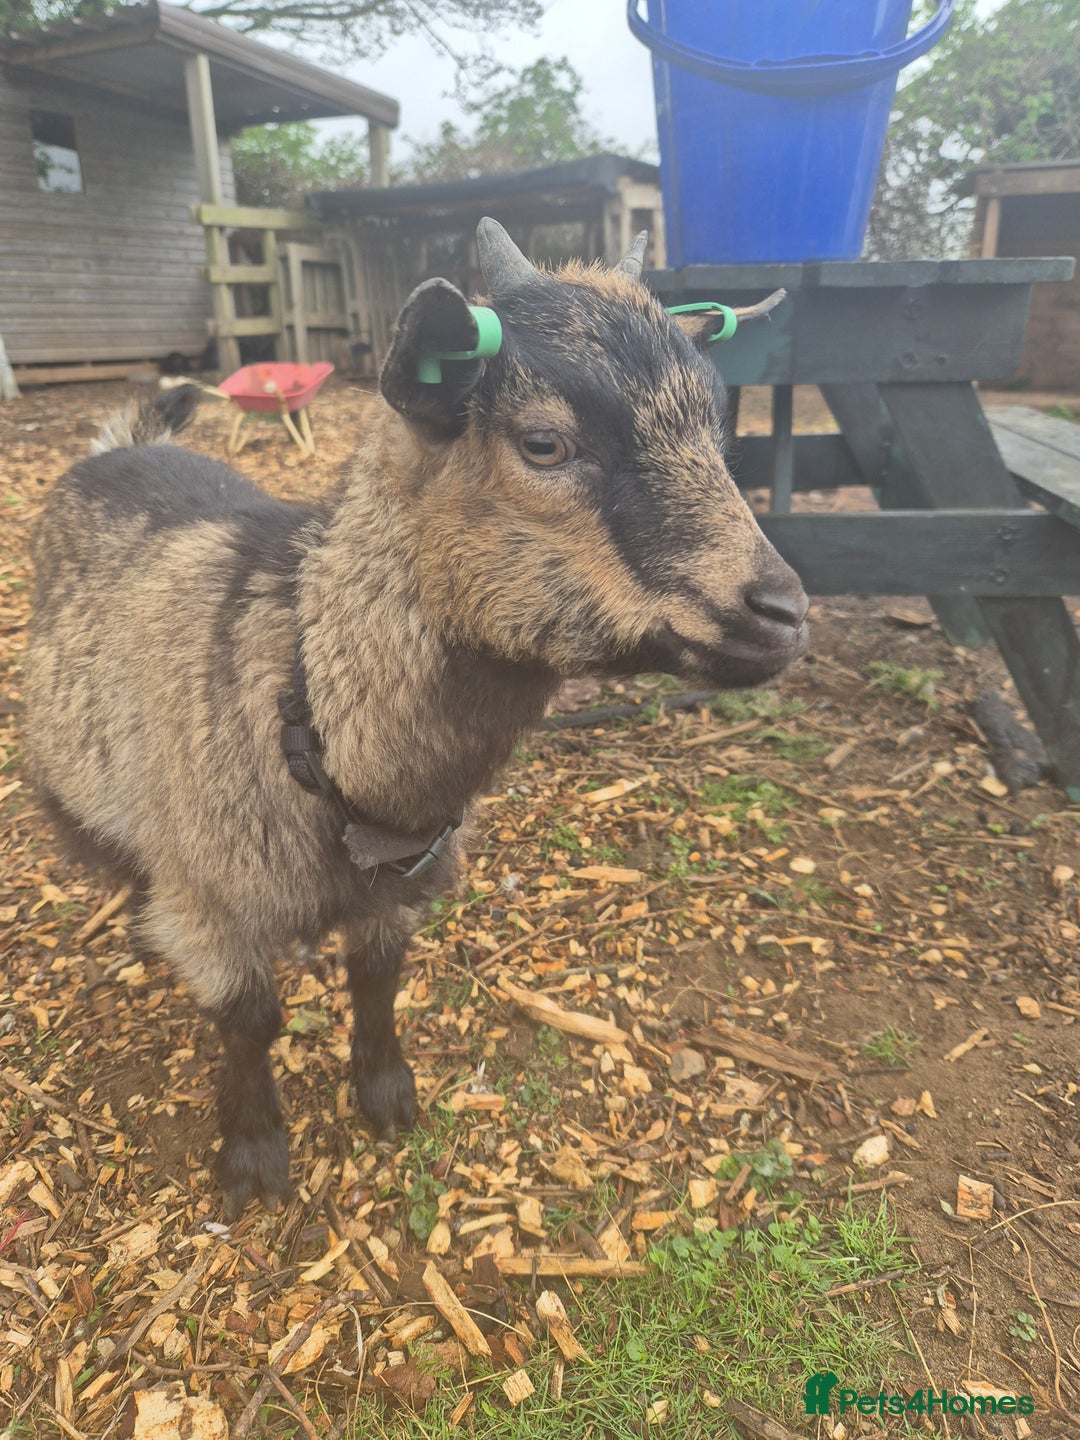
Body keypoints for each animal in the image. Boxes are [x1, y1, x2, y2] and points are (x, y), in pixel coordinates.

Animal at [25, 220, 808, 1215]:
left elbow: (377, 979)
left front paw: (385, 1093)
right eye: (544, 443)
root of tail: (114, 447)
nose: (783, 613)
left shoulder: (399, 888)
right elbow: (248, 1019)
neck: (304, 693)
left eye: (716, 427)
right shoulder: (212, 899)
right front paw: (254, 1153)